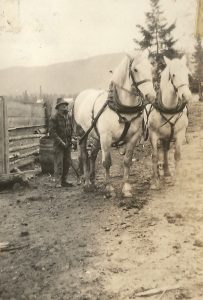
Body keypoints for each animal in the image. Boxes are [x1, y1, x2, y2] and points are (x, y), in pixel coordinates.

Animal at [73, 49, 156, 197]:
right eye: (135, 69)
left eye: (151, 68)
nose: (151, 96)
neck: (122, 107)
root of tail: (82, 94)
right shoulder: (106, 138)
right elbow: (106, 162)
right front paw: (109, 188)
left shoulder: (133, 137)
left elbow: (127, 161)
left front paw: (126, 188)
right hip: (82, 133)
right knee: (84, 155)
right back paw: (87, 183)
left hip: (96, 136)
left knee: (92, 155)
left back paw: (93, 181)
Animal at [144, 55, 191, 189]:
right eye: (173, 75)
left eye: (187, 74)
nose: (186, 96)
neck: (169, 108)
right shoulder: (153, 135)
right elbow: (154, 156)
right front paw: (154, 181)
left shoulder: (180, 134)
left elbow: (177, 155)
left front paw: (177, 179)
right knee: (162, 151)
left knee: (165, 150)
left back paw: (166, 172)